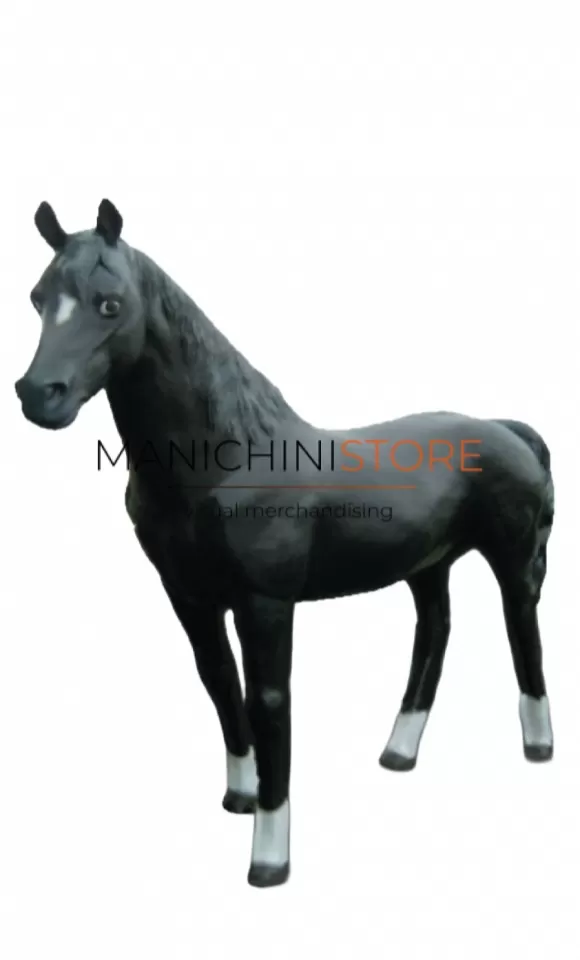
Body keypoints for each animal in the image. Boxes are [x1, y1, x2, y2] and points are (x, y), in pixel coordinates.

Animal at [15, 199, 555, 888]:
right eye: (38, 298)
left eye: (109, 303)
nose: (39, 395)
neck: (228, 462)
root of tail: (508, 429)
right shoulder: (189, 598)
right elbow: (220, 685)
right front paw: (240, 797)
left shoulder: (265, 604)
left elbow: (269, 703)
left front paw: (270, 857)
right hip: (427, 567)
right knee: (435, 632)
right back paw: (398, 752)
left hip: (513, 563)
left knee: (522, 632)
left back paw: (538, 747)